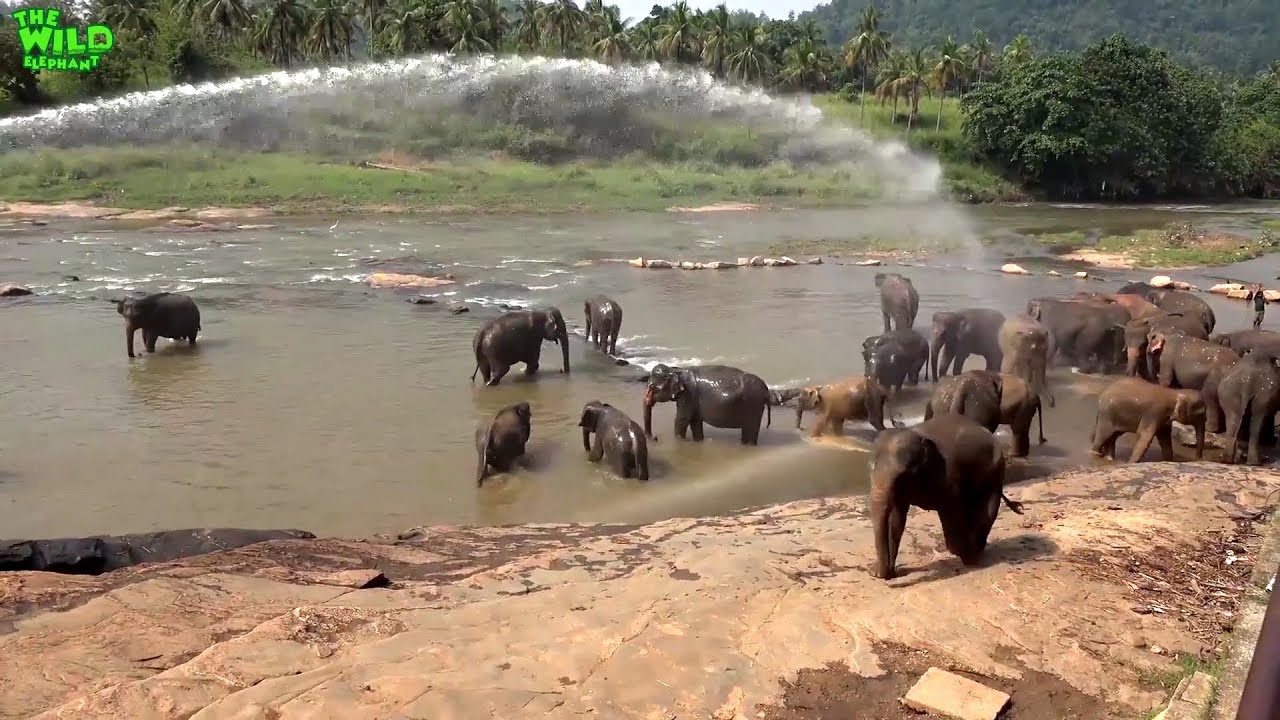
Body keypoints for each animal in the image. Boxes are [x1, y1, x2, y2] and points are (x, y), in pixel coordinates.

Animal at [643, 364, 772, 445]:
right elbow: (695, 421)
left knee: (750, 429)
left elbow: (681, 419)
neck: (676, 370)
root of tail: (766, 390)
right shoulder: (692, 399)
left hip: (753, 405)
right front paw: (698, 441)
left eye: (652, 388)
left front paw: (680, 440)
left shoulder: (688, 395)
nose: (655, 438)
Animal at [867, 414, 1024, 580]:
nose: (879, 574)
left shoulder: (949, 475)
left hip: (995, 473)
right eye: (870, 468)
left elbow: (950, 511)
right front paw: (881, 572)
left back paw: (972, 556)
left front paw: (960, 552)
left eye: (902, 476)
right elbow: (896, 520)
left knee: (988, 509)